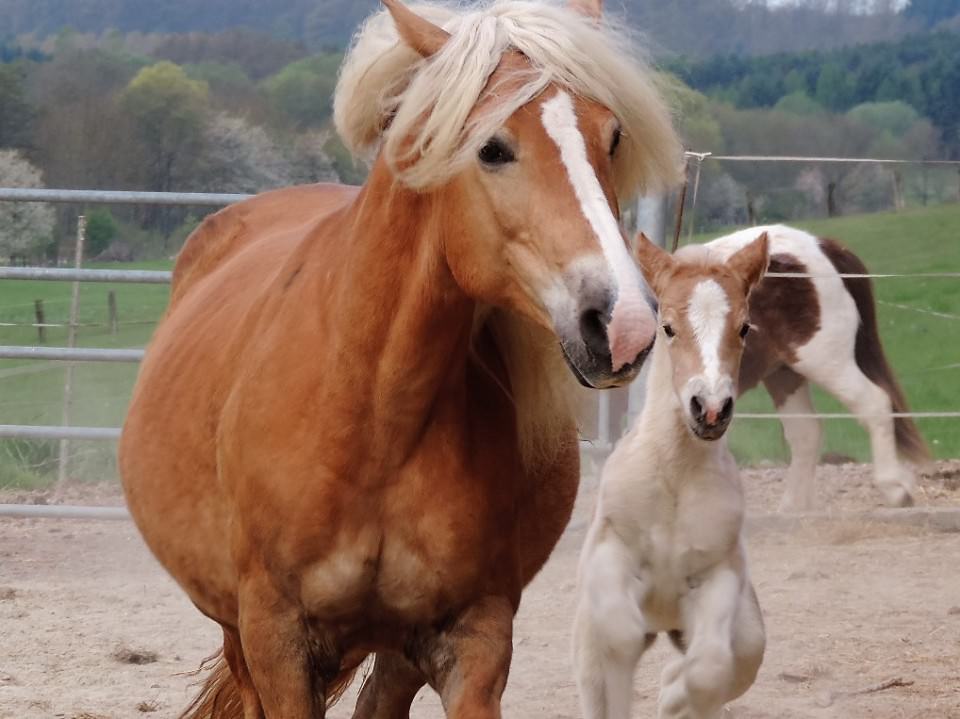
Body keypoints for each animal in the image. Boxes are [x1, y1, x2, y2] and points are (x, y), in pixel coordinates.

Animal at [118, 1, 684, 719]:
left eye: (612, 137)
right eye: (492, 147)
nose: (624, 324)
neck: (373, 417)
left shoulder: (474, 639)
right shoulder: (276, 638)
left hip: (395, 654)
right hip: (239, 634)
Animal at [572, 233, 768, 716]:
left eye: (744, 328)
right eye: (667, 328)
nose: (710, 409)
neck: (674, 479)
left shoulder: (718, 577)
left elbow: (708, 670)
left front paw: (675, 697)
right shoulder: (610, 554)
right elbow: (620, 638)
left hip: (747, 634)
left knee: (730, 663)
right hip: (587, 635)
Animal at [692, 225, 928, 512]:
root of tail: (819, 244)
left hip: (823, 361)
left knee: (874, 404)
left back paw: (894, 487)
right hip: (783, 373)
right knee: (806, 432)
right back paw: (792, 507)